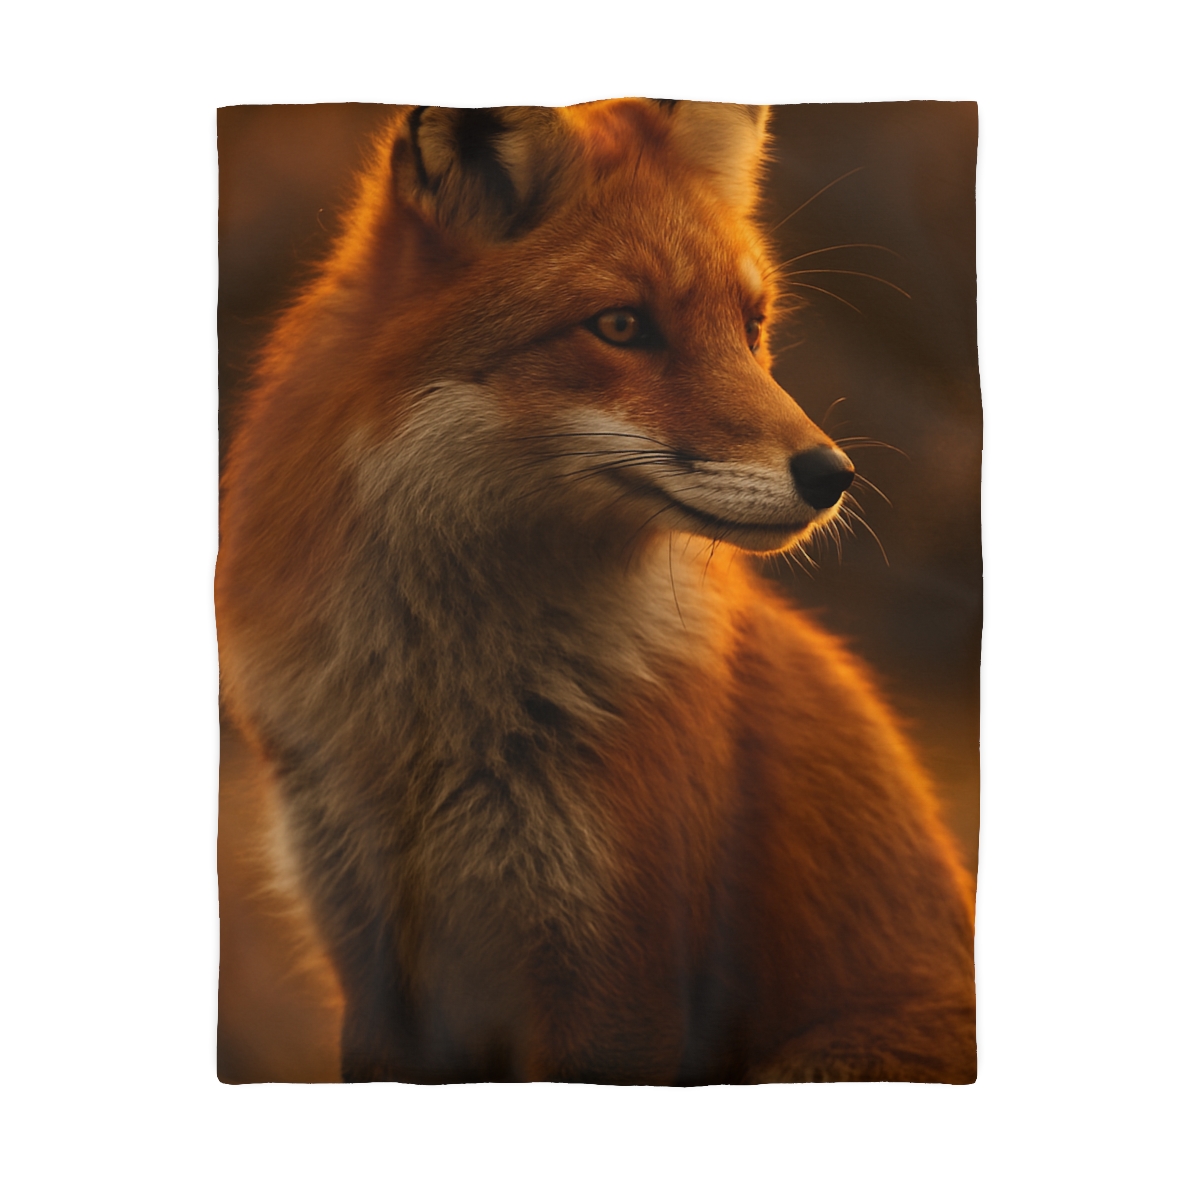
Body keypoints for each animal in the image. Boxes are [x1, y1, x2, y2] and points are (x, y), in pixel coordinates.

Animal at [215, 99, 977, 1084]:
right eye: (620, 326)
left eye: (751, 326)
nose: (833, 475)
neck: (431, 719)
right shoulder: (376, 968)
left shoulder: (617, 976)